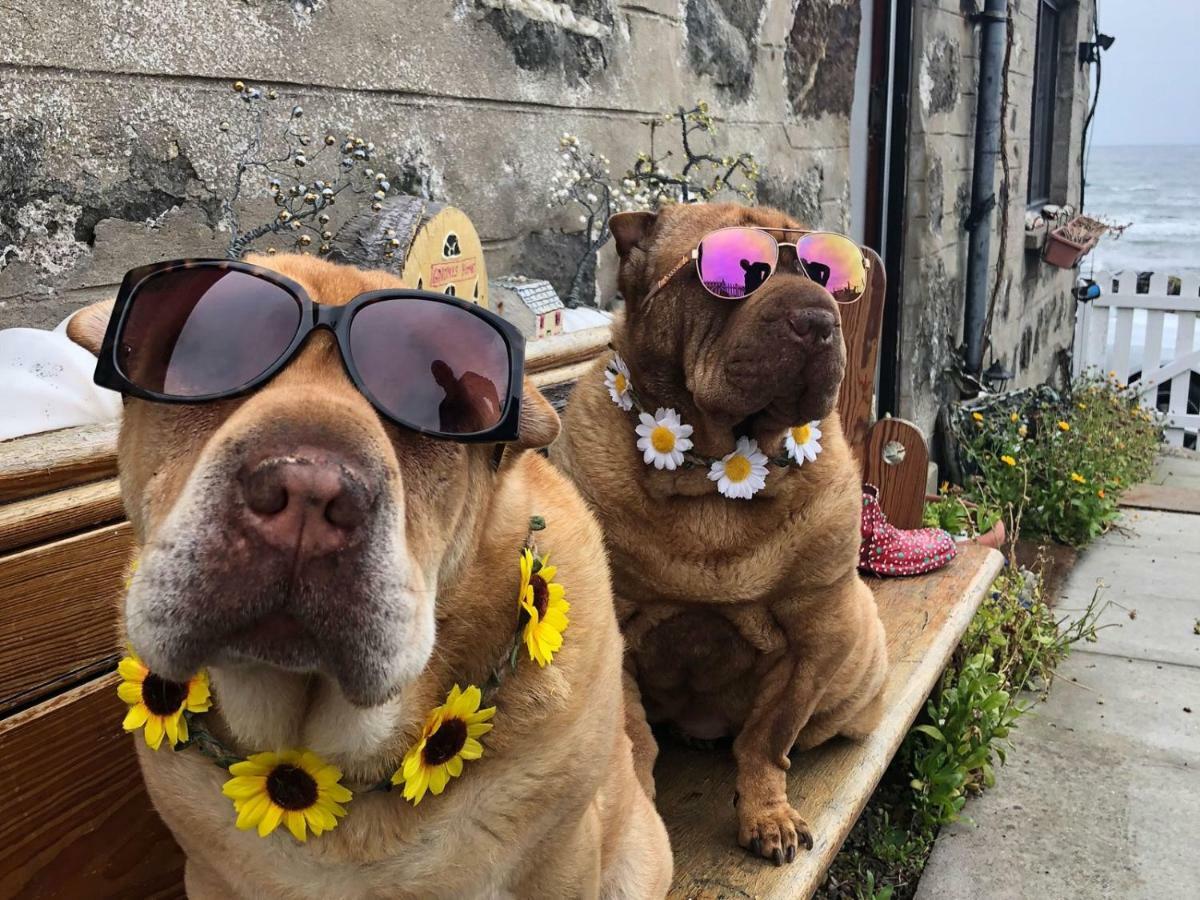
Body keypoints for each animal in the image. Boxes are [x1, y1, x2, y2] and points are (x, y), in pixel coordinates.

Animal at [549, 202, 883, 868]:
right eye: (736, 272)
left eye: (827, 274)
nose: (817, 318)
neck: (711, 473)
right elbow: (633, 737)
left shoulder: (815, 635)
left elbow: (767, 739)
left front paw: (768, 813)